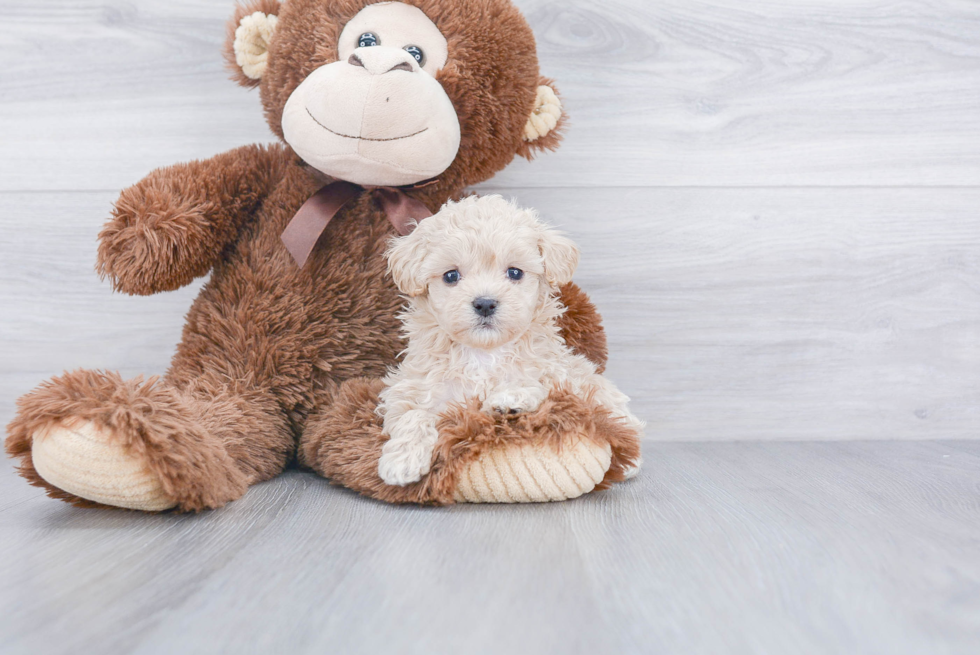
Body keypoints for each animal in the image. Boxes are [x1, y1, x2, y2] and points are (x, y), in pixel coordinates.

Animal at [376, 195, 644, 486]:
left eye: (515, 273)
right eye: (451, 276)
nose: (485, 303)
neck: (484, 353)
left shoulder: (560, 380)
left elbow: (539, 387)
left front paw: (509, 399)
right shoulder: (415, 388)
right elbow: (412, 414)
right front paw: (402, 460)